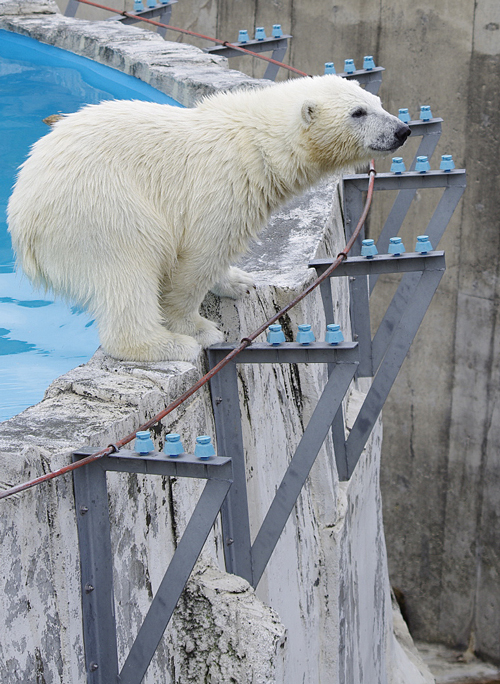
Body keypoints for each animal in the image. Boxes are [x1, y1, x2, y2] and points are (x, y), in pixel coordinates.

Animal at [7, 75, 410, 364]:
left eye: (378, 103)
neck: (257, 144)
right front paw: (200, 329)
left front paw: (239, 282)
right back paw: (167, 345)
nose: (402, 130)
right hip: (98, 209)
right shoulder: (221, 187)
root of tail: (21, 216)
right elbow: (200, 256)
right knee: (127, 268)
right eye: (358, 112)